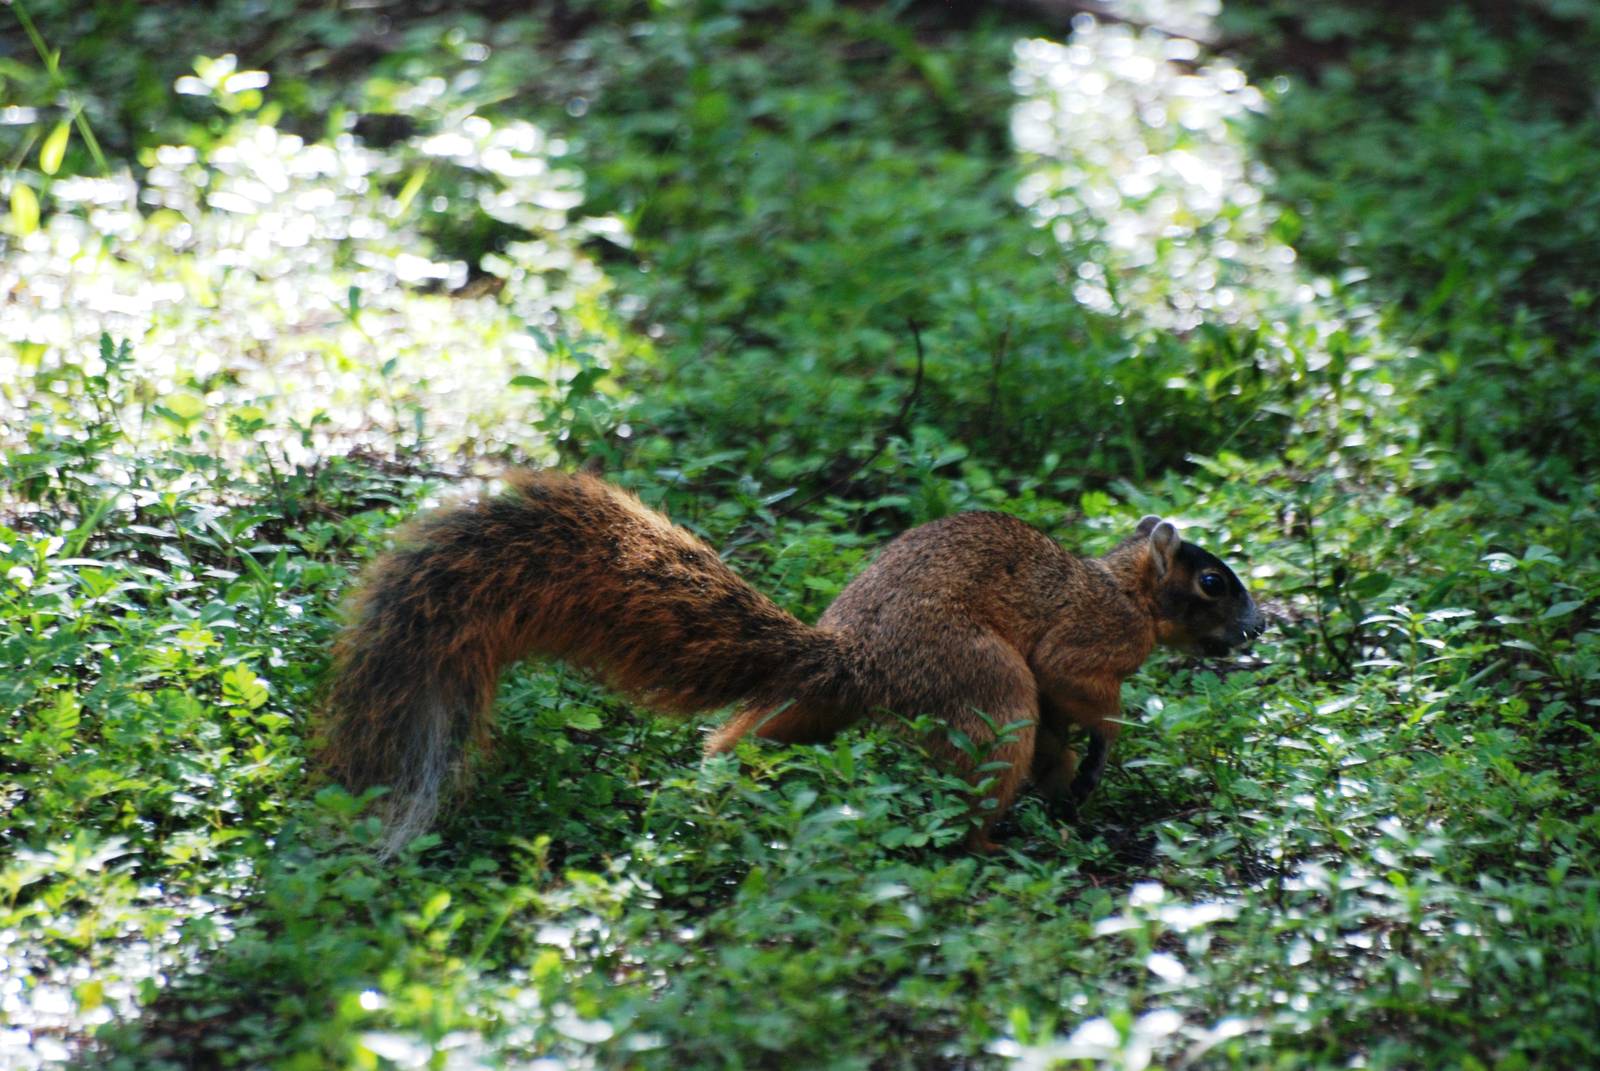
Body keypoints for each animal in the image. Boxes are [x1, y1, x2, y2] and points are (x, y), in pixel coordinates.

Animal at [321, 470, 1264, 855]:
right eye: (1212, 580)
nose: (1258, 629)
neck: (1126, 588)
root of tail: (854, 660)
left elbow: (1066, 742)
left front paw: (1074, 790)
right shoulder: (1092, 638)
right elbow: (1076, 686)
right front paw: (1109, 747)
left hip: (813, 710)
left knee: (746, 733)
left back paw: (713, 784)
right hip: (988, 690)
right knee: (980, 770)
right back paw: (990, 841)